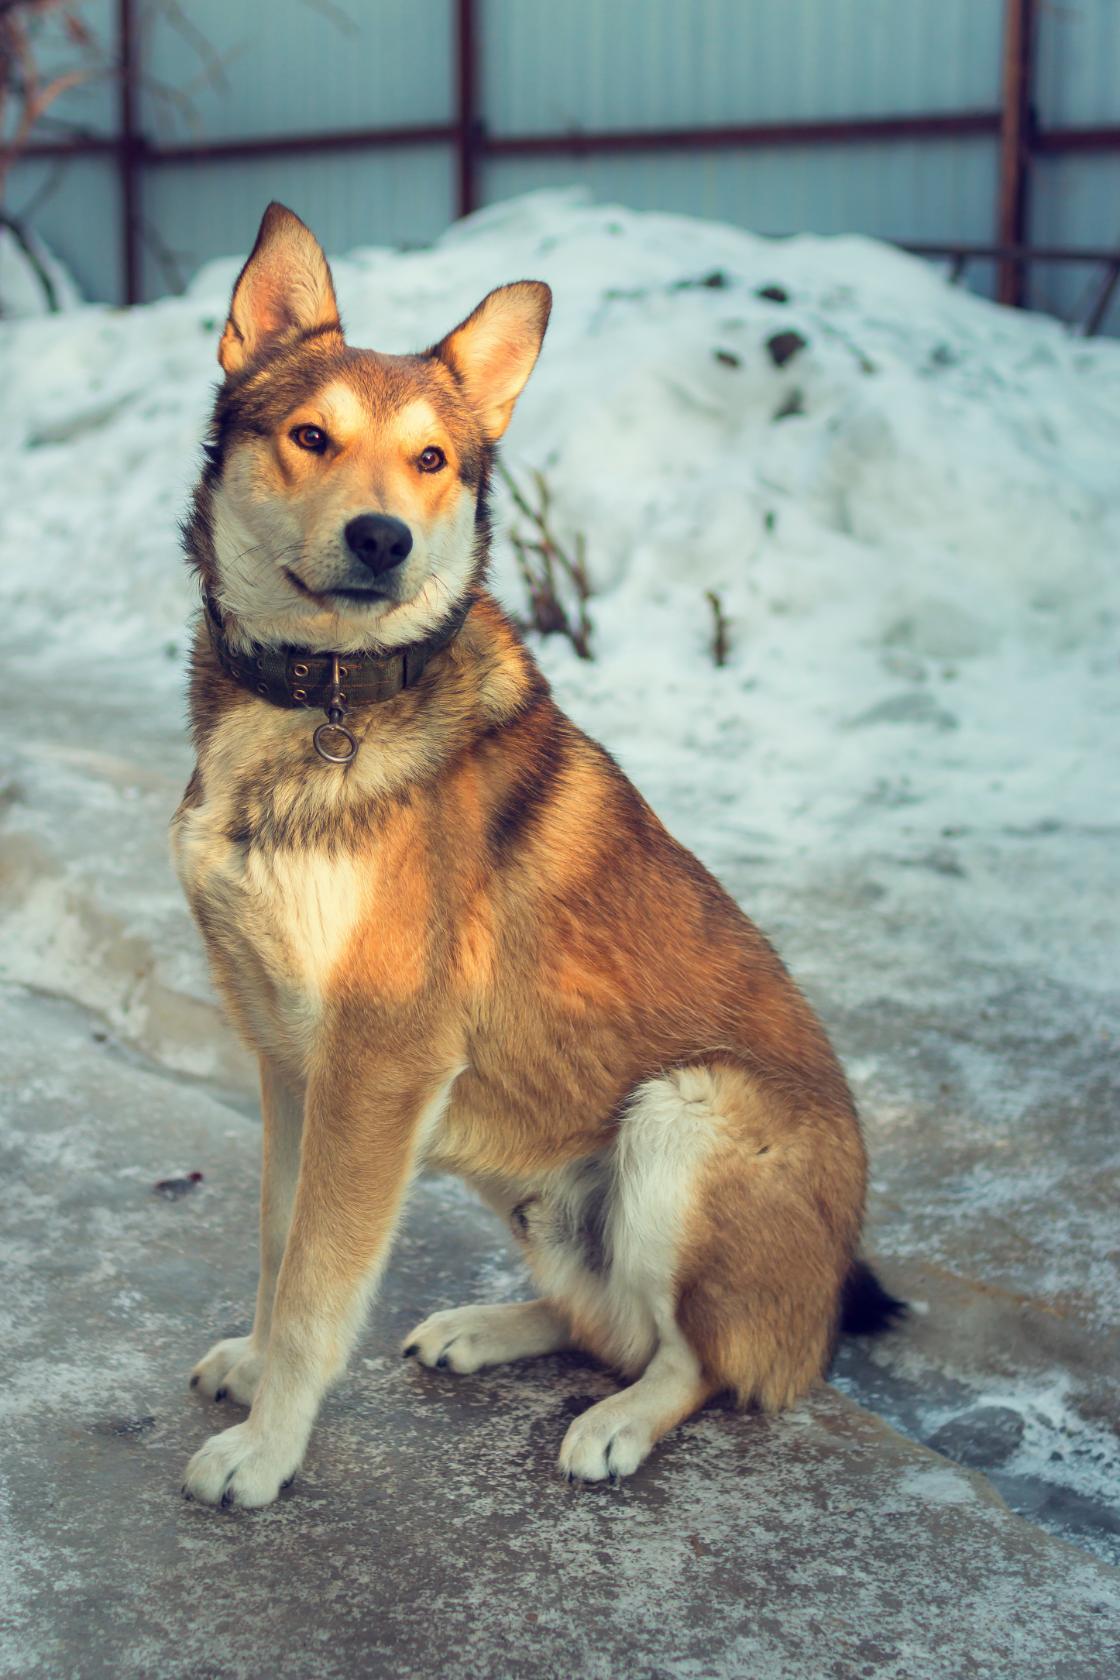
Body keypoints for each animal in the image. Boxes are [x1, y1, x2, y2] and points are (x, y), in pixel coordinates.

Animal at [171, 199, 900, 1512]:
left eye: (431, 461)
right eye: (309, 436)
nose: (382, 538)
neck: (319, 701)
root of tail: (826, 1297)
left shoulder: (377, 1065)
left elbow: (317, 1283)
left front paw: (267, 1446)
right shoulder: (288, 1059)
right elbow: (277, 1241)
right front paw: (255, 1373)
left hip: (683, 1115)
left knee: (700, 1361)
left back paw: (618, 1422)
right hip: (537, 1185)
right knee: (611, 1323)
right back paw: (488, 1328)